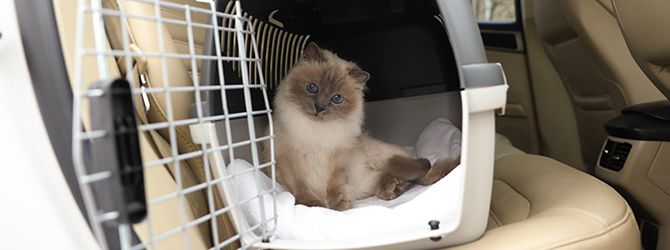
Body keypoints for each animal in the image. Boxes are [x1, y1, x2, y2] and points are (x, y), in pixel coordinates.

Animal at [262, 43, 462, 211]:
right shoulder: (288, 160)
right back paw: (392, 188)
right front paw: (314, 206)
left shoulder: (341, 157)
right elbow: (300, 187)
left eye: (337, 98)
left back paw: (391, 188)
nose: (319, 107)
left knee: (414, 174)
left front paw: (337, 202)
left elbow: (336, 181)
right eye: (312, 87)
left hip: (383, 154)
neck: (318, 131)